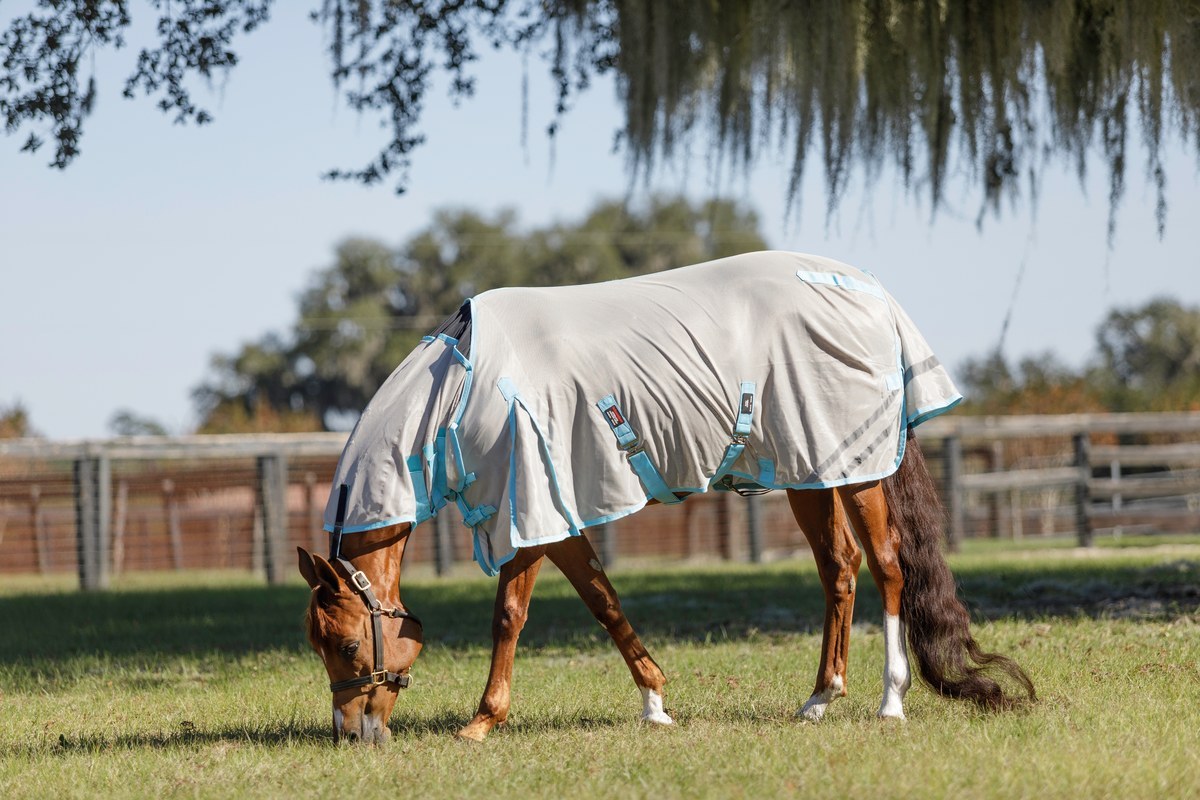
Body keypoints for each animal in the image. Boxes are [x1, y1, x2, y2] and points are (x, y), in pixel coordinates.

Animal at [296, 251, 1035, 743]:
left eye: (350, 646)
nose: (350, 732)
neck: (458, 390)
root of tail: (868, 291)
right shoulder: (560, 517)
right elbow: (604, 602)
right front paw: (655, 703)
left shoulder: (529, 511)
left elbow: (509, 616)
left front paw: (481, 721)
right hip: (811, 475)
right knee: (841, 570)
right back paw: (820, 699)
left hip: (855, 470)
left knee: (886, 568)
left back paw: (890, 702)